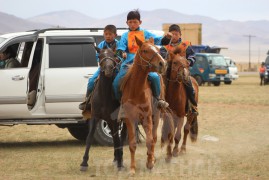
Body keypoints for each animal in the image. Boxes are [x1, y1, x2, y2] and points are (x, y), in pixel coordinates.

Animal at [118, 37, 166, 176]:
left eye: (158, 49)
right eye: (145, 50)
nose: (162, 63)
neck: (136, 90)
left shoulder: (147, 118)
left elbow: (150, 141)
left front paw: (150, 163)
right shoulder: (129, 119)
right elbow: (132, 144)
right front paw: (132, 169)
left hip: (156, 116)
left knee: (154, 138)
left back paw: (152, 158)